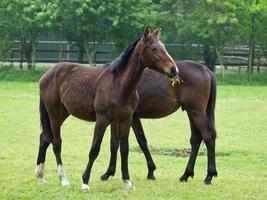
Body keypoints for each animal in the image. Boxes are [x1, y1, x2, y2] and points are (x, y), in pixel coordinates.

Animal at [34, 27, 179, 190]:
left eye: (164, 47)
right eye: (154, 48)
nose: (174, 69)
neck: (119, 84)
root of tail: (46, 75)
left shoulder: (126, 119)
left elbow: (124, 148)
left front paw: (127, 181)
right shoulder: (102, 120)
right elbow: (94, 149)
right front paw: (85, 181)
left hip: (63, 113)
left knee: (44, 138)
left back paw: (41, 176)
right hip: (54, 113)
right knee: (56, 142)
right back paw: (63, 179)